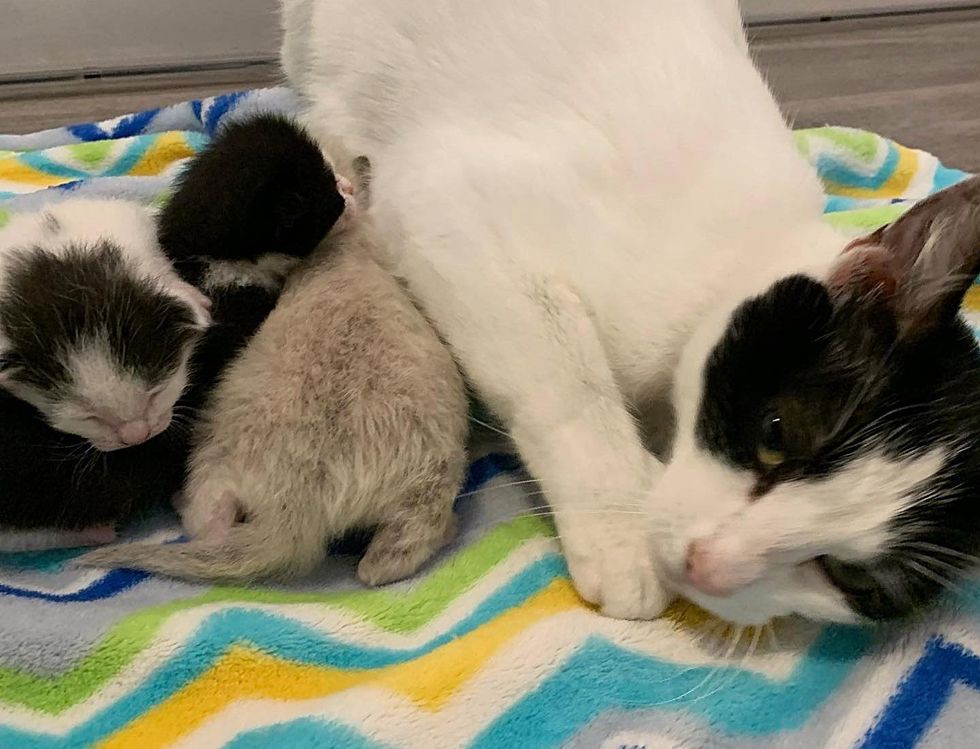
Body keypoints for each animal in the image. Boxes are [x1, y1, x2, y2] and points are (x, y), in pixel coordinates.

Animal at [286, 0, 980, 624]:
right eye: (777, 432)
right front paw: (622, 533)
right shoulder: (447, 203)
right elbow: (570, 390)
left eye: (847, 576)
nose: (708, 564)